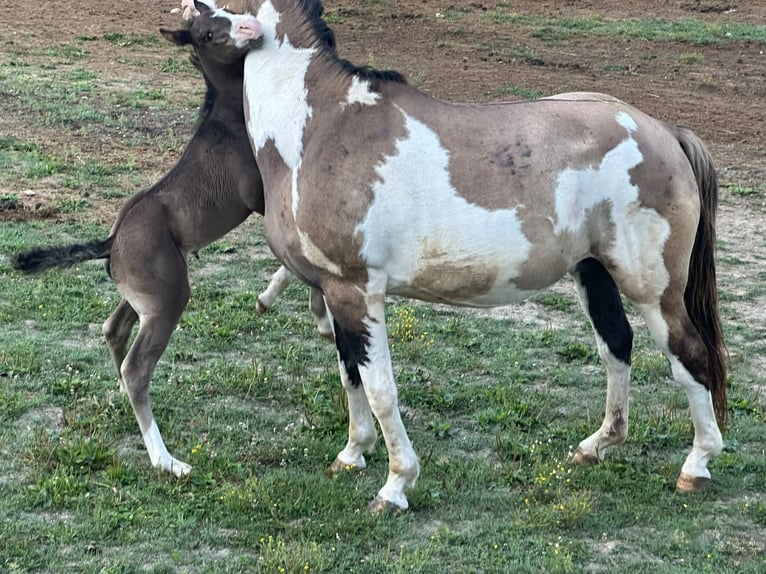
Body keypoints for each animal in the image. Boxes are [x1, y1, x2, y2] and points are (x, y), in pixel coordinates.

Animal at [12, 27, 333, 477]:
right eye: (210, 31)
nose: (251, 32)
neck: (228, 118)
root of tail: (111, 242)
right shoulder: (260, 198)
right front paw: (300, 308)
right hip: (169, 298)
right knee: (136, 366)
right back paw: (166, 460)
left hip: (148, 295)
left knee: (114, 331)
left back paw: (124, 403)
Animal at [171, 0, 727, 512]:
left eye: (207, 22)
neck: (324, 129)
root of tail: (665, 132)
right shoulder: (332, 292)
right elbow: (350, 374)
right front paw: (352, 454)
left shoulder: (356, 290)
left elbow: (381, 389)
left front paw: (396, 485)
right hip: (593, 272)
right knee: (616, 346)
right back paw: (597, 446)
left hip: (651, 287)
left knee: (689, 355)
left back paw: (697, 465)